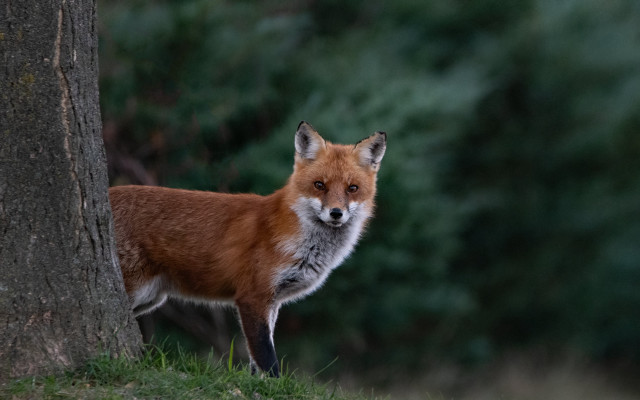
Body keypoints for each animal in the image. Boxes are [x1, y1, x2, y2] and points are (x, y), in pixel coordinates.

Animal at [109, 121, 386, 377]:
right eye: (320, 185)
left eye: (352, 188)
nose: (336, 213)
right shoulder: (252, 296)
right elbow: (266, 355)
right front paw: (274, 386)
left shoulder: (272, 302)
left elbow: (257, 356)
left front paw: (256, 384)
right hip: (138, 292)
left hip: (150, 298)